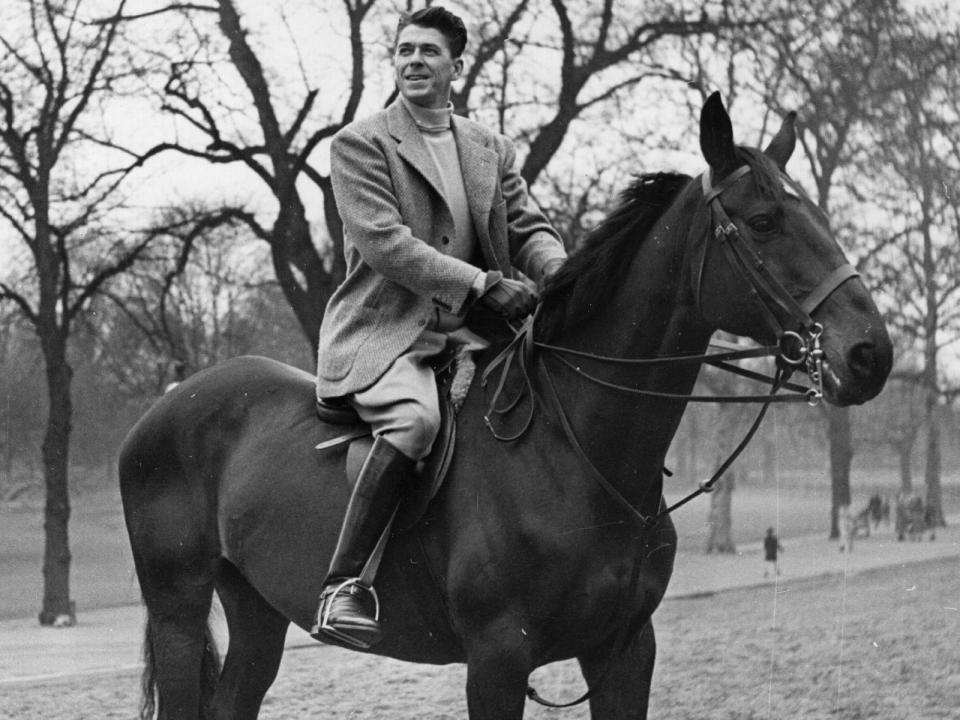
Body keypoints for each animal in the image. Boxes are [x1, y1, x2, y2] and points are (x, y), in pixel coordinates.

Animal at [118, 93, 892, 716]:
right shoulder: (497, 659)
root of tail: (169, 403)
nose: (870, 354)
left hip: (256, 609)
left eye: (817, 214)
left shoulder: (624, 651)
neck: (576, 452)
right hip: (179, 608)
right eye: (763, 222)